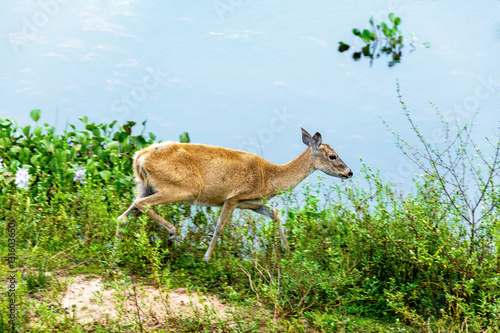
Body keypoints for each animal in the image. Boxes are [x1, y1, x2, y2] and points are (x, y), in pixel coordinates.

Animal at [116, 127, 352, 262]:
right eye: (333, 156)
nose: (349, 172)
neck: (269, 177)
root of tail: (139, 157)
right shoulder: (234, 197)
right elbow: (220, 227)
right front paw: (207, 258)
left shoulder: (251, 202)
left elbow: (275, 214)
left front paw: (287, 252)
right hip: (181, 188)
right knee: (143, 205)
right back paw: (172, 233)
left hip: (145, 185)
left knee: (126, 212)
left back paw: (116, 252)